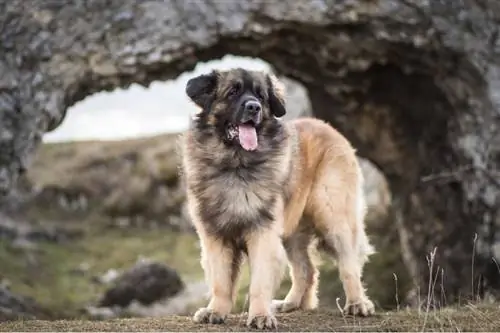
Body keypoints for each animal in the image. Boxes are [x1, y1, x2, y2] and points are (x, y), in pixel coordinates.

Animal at [180, 68, 376, 330]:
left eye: (261, 96)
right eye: (232, 92)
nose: (254, 108)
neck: (235, 164)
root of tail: (327, 127)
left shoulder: (262, 232)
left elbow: (259, 282)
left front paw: (260, 316)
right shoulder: (215, 235)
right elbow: (220, 281)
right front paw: (215, 311)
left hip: (333, 217)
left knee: (349, 264)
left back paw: (357, 303)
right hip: (291, 231)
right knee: (306, 270)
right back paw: (290, 304)